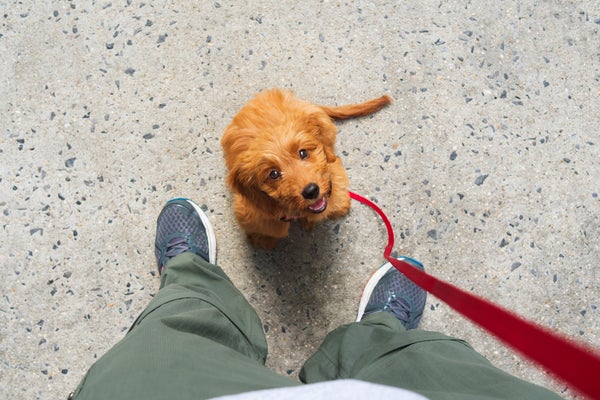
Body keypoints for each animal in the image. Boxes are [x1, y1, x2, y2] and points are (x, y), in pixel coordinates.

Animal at [223, 89, 392, 248]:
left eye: (303, 152)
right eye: (273, 174)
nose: (311, 191)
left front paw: (339, 206)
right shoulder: (253, 212)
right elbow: (266, 229)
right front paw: (263, 240)